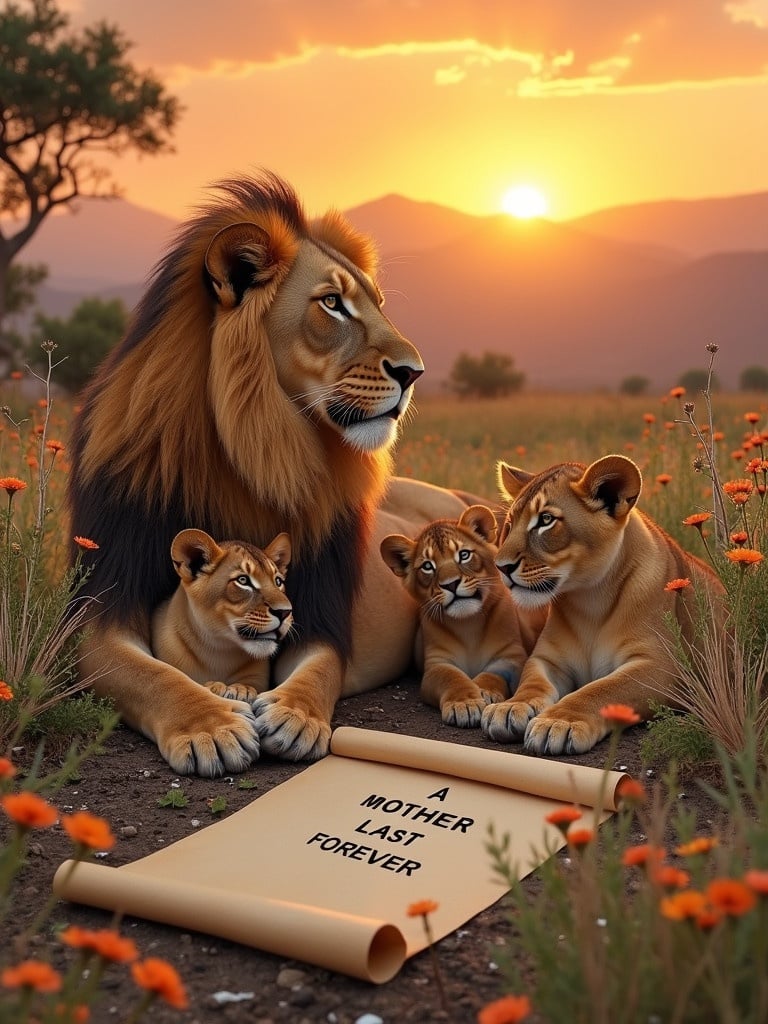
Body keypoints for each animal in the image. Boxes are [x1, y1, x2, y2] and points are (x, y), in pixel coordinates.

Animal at [149, 528, 290, 704]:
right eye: (243, 580)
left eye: (278, 582)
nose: (285, 612)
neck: (220, 650)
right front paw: (216, 686)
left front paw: (240, 689)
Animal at [481, 454, 729, 753]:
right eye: (509, 524)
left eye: (546, 520)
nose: (501, 567)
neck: (589, 600)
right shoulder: (547, 658)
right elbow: (531, 682)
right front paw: (509, 708)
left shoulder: (663, 667)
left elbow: (601, 690)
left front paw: (558, 722)